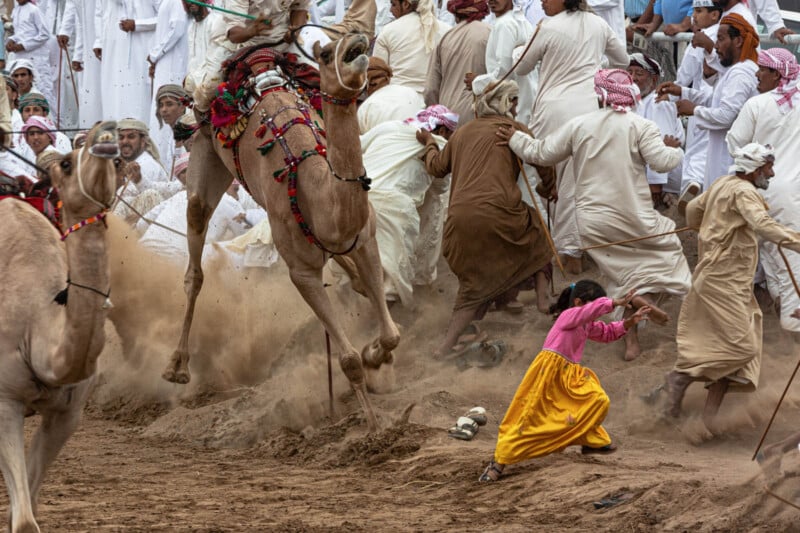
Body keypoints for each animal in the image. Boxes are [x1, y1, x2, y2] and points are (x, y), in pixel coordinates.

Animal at [0, 122, 121, 528]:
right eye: (67, 163)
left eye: (118, 162)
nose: (107, 131)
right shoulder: (3, 401)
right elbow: (25, 521)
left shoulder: (68, 413)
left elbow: (29, 509)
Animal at [162, 33, 400, 430]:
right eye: (325, 53)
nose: (357, 40)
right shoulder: (301, 272)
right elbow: (348, 359)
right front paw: (374, 427)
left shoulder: (365, 241)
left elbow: (392, 333)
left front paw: (376, 354)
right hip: (204, 150)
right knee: (194, 256)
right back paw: (176, 366)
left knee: (352, 274)